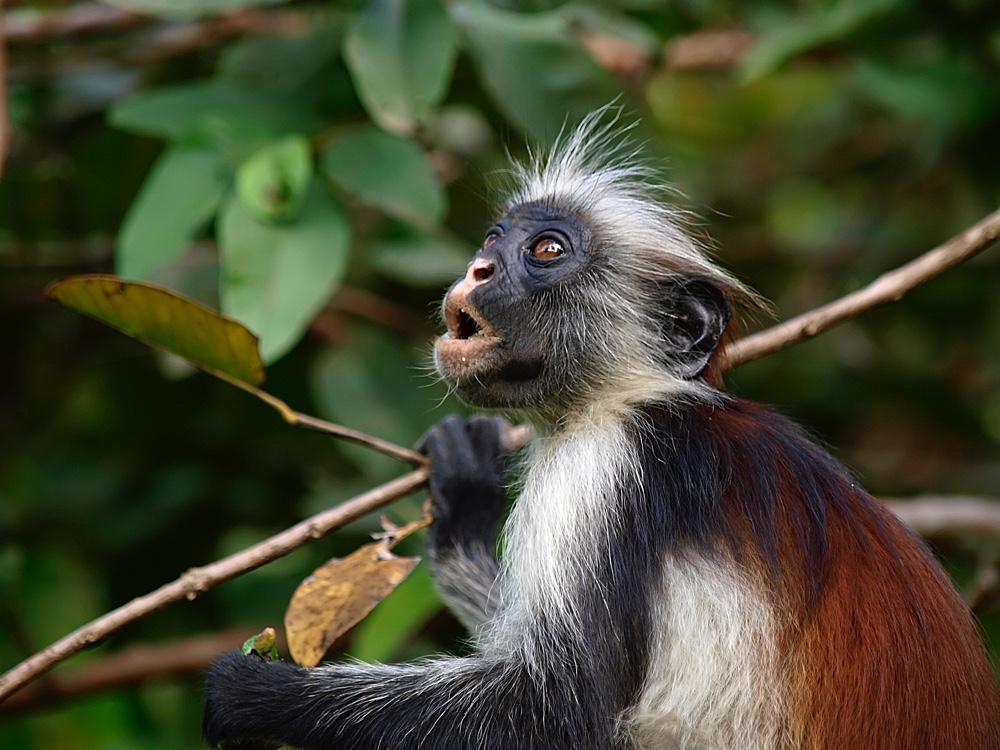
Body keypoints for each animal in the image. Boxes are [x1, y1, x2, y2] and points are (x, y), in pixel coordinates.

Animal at [203, 111, 1000, 750]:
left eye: (546, 251)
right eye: (495, 240)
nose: (479, 266)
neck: (634, 393)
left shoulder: (611, 462)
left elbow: (546, 712)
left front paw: (255, 695)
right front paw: (463, 507)